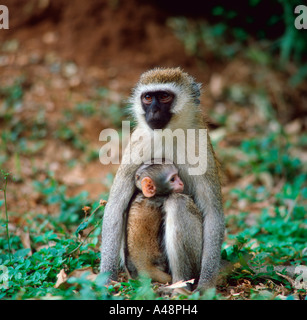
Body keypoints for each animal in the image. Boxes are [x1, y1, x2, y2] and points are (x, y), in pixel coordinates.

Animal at [101, 67, 226, 290]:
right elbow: (115, 206)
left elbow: (213, 214)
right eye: (148, 98)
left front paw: (205, 286)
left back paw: (180, 285)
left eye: (165, 97)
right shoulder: (138, 142)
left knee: (178, 203)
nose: (153, 112)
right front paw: (106, 280)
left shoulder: (200, 144)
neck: (169, 133)